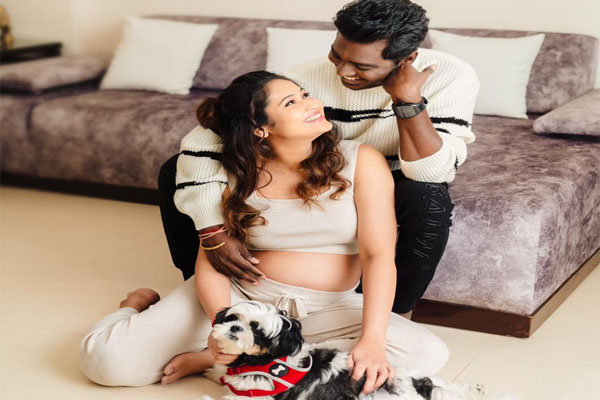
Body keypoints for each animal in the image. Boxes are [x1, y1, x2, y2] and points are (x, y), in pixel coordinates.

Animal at [199, 300, 513, 400]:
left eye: (258, 331)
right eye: (233, 318)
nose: (235, 329)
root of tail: (413, 385)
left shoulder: (258, 395)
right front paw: (214, 371)